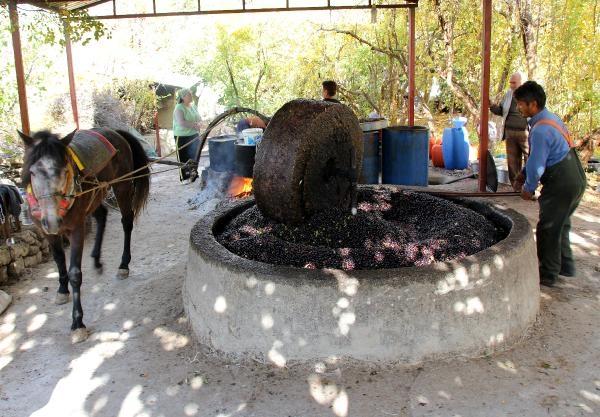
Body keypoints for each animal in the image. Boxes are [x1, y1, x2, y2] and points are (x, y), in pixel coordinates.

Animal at [19, 128, 150, 342]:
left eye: (65, 171)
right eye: (32, 172)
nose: (53, 220)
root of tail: (114, 131)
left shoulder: (76, 229)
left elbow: (75, 273)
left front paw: (77, 323)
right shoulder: (46, 232)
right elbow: (58, 260)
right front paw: (62, 291)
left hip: (121, 186)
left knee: (126, 222)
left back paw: (123, 265)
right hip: (98, 194)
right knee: (102, 216)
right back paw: (96, 259)